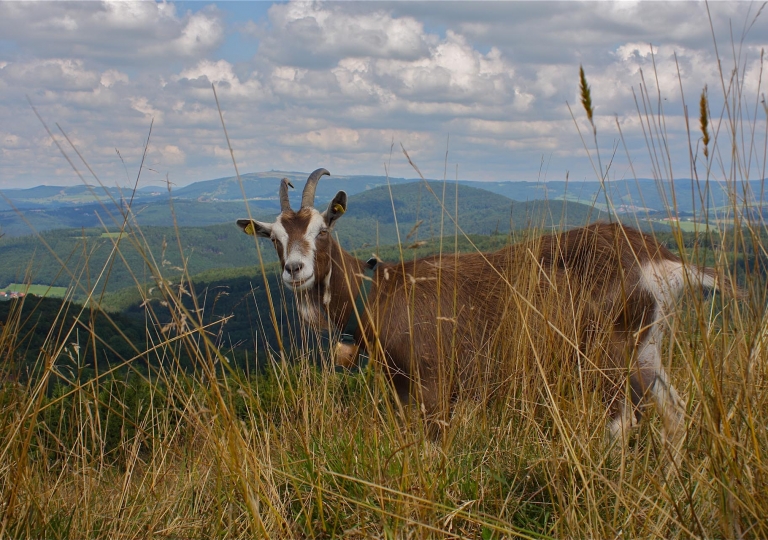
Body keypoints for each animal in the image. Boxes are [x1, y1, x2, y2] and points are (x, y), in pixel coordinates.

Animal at [237, 169, 728, 452]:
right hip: (645, 348)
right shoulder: (401, 388)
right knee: (675, 413)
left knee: (622, 423)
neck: (379, 292)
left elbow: (434, 448)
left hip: (605, 350)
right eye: (274, 238)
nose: (295, 270)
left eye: (321, 230)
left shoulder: (436, 380)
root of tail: (660, 259)